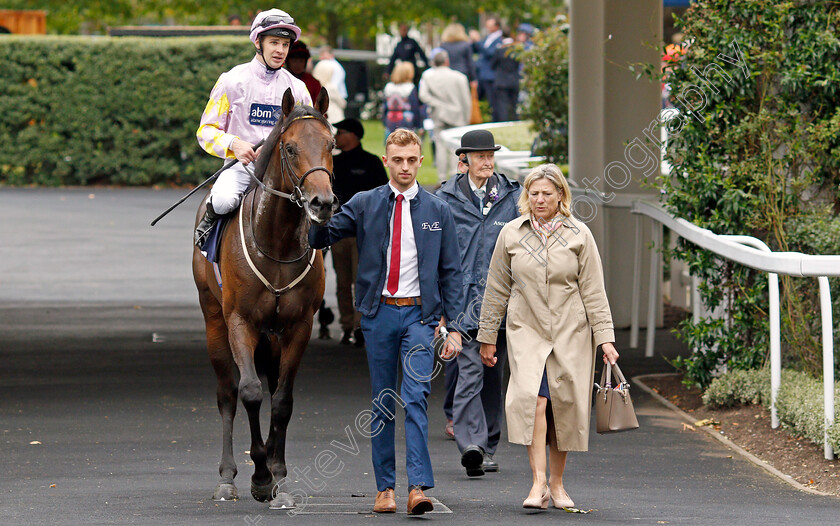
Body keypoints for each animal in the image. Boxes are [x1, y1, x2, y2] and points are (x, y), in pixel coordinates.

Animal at [192, 89, 336, 512]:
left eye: (331, 144)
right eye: (290, 148)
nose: (322, 203)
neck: (278, 243)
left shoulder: (297, 326)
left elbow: (282, 400)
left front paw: (278, 476)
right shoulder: (241, 321)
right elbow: (251, 392)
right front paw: (257, 475)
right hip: (214, 321)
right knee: (227, 393)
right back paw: (227, 478)